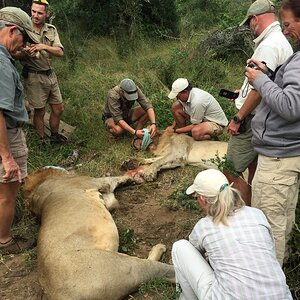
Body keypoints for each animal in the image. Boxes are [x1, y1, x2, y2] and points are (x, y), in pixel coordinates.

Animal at [24, 169, 175, 300]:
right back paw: (162, 248)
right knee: (166, 272)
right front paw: (130, 177)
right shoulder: (96, 182)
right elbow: (113, 179)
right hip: (126, 267)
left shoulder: (106, 199)